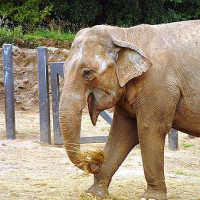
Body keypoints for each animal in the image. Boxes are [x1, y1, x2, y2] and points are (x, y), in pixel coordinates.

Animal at [59, 20, 200, 200]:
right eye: (63, 69)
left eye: (88, 73)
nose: (96, 159)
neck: (124, 35)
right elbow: (122, 132)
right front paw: (94, 193)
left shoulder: (158, 87)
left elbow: (149, 129)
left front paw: (150, 197)